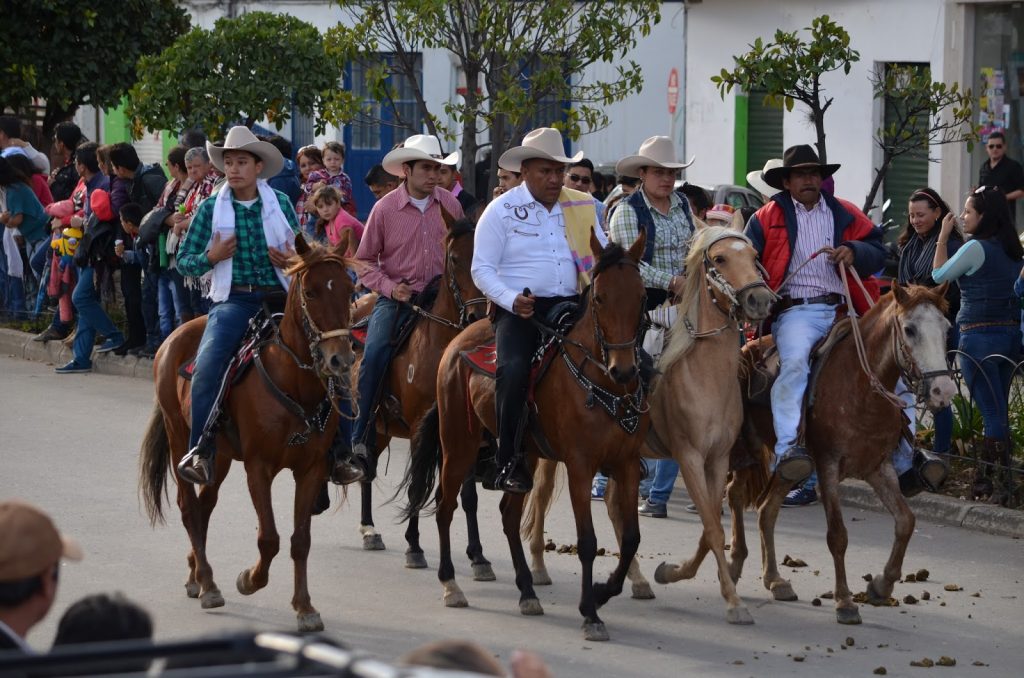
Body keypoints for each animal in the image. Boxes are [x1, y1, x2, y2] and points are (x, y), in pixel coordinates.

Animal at [139, 236, 356, 634]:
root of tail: (172, 337)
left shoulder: (312, 469)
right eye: (312, 291)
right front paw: (249, 580)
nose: (340, 360)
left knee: (205, 506)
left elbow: (300, 540)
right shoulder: (258, 467)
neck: (293, 382)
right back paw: (209, 584)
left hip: (220, 456)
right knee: (189, 508)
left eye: (350, 291)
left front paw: (305, 607)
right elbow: (268, 538)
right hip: (180, 439)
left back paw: (196, 574)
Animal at [348, 216, 491, 577]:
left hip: (382, 428)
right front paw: (414, 547)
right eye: (454, 258)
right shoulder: (417, 428)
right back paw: (367, 529)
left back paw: (369, 527)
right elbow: (415, 486)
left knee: (370, 467)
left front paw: (478, 555)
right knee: (363, 465)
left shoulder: (462, 431)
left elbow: (468, 495)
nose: (475, 317)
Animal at [401, 232, 647, 643]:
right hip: (459, 444)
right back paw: (451, 584)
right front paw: (590, 612)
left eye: (642, 296)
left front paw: (602, 591)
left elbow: (630, 540)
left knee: (507, 514)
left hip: (525, 456)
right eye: (599, 298)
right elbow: (587, 542)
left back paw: (527, 590)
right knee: (446, 504)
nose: (624, 369)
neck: (600, 383)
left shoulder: (626, 465)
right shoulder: (580, 467)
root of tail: (458, 340)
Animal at [520, 229, 774, 626]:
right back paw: (540, 567)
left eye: (753, 255)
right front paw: (732, 601)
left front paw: (674, 572)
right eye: (719, 259)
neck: (706, 373)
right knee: (543, 495)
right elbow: (712, 527)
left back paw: (636, 580)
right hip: (553, 452)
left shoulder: (717, 460)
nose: (760, 299)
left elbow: (710, 528)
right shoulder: (688, 457)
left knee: (612, 507)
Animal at [724, 282, 954, 626]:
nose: (944, 390)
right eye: (910, 329)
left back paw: (775, 579)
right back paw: (736, 564)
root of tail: (747, 348)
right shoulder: (828, 467)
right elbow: (838, 535)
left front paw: (881, 586)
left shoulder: (878, 468)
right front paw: (845, 601)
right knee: (735, 494)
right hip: (747, 449)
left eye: (947, 328)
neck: (861, 389)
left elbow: (905, 522)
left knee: (767, 509)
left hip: (792, 463)